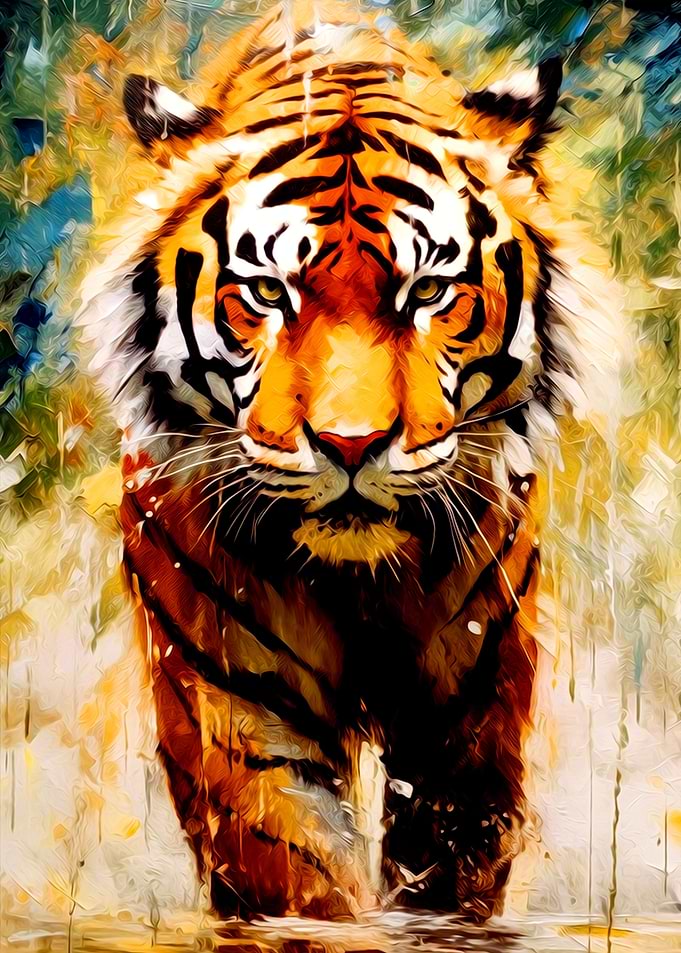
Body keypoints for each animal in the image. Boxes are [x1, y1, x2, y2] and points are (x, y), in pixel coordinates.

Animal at [79, 0, 612, 922]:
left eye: (427, 291)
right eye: (267, 292)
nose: (351, 444)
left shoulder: (465, 707)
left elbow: (447, 869)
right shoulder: (236, 705)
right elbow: (292, 873)